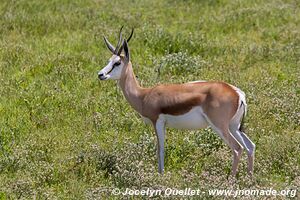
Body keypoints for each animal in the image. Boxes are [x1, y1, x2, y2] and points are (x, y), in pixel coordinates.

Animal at [98, 27, 255, 177]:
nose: (100, 74)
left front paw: (160, 176)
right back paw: (249, 178)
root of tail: (237, 93)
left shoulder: (157, 122)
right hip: (234, 126)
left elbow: (160, 149)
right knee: (250, 146)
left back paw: (231, 180)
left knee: (237, 148)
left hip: (219, 125)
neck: (144, 95)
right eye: (108, 61)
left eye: (117, 62)